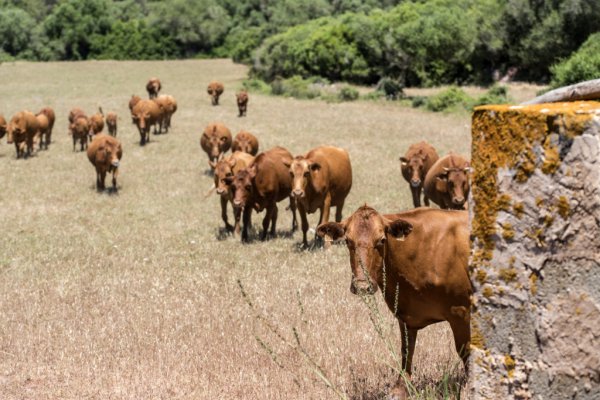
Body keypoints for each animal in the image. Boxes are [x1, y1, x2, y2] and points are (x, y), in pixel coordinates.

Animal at [316, 206, 472, 400]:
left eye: (382, 240)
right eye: (348, 241)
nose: (362, 286)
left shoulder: (460, 312)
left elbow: (465, 350)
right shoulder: (404, 314)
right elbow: (406, 350)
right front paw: (400, 388)